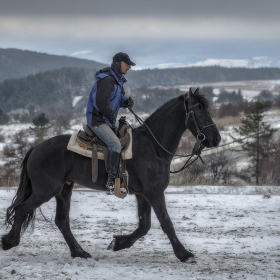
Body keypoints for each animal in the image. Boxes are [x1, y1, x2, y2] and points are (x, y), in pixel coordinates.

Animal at [1, 88, 221, 262]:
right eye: (199, 112)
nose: (216, 139)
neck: (153, 146)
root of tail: (35, 148)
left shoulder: (143, 195)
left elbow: (144, 225)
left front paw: (118, 243)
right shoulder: (154, 193)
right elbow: (166, 223)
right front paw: (184, 254)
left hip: (64, 189)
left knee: (61, 221)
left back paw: (79, 252)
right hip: (45, 190)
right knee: (21, 210)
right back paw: (9, 241)